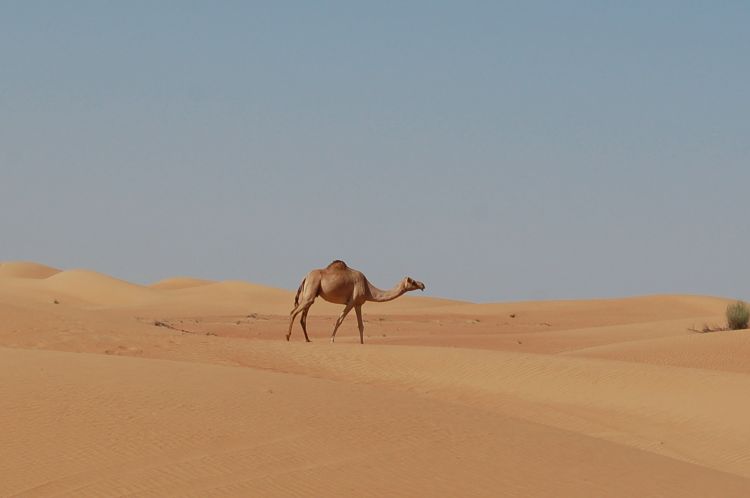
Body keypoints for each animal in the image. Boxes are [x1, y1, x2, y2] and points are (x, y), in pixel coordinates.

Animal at [288, 260, 426, 342]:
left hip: (310, 293)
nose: (423, 285)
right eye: (413, 281)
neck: (368, 288)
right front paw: (332, 339)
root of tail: (305, 277)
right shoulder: (351, 302)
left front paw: (362, 343)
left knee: (303, 316)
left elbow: (361, 325)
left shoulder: (358, 304)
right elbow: (339, 320)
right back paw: (288, 336)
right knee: (293, 312)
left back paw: (307, 339)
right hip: (312, 288)